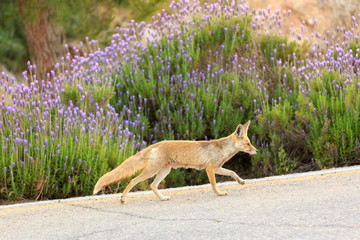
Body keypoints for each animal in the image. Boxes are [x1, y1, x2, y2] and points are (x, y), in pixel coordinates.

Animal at [93, 120, 256, 202]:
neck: (223, 149)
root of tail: (156, 144)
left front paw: (241, 181)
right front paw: (219, 194)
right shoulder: (210, 169)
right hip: (151, 171)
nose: (256, 151)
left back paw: (163, 198)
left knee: (152, 186)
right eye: (248, 143)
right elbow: (214, 185)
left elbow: (233, 172)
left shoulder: (217, 168)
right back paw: (122, 199)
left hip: (165, 171)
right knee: (133, 181)